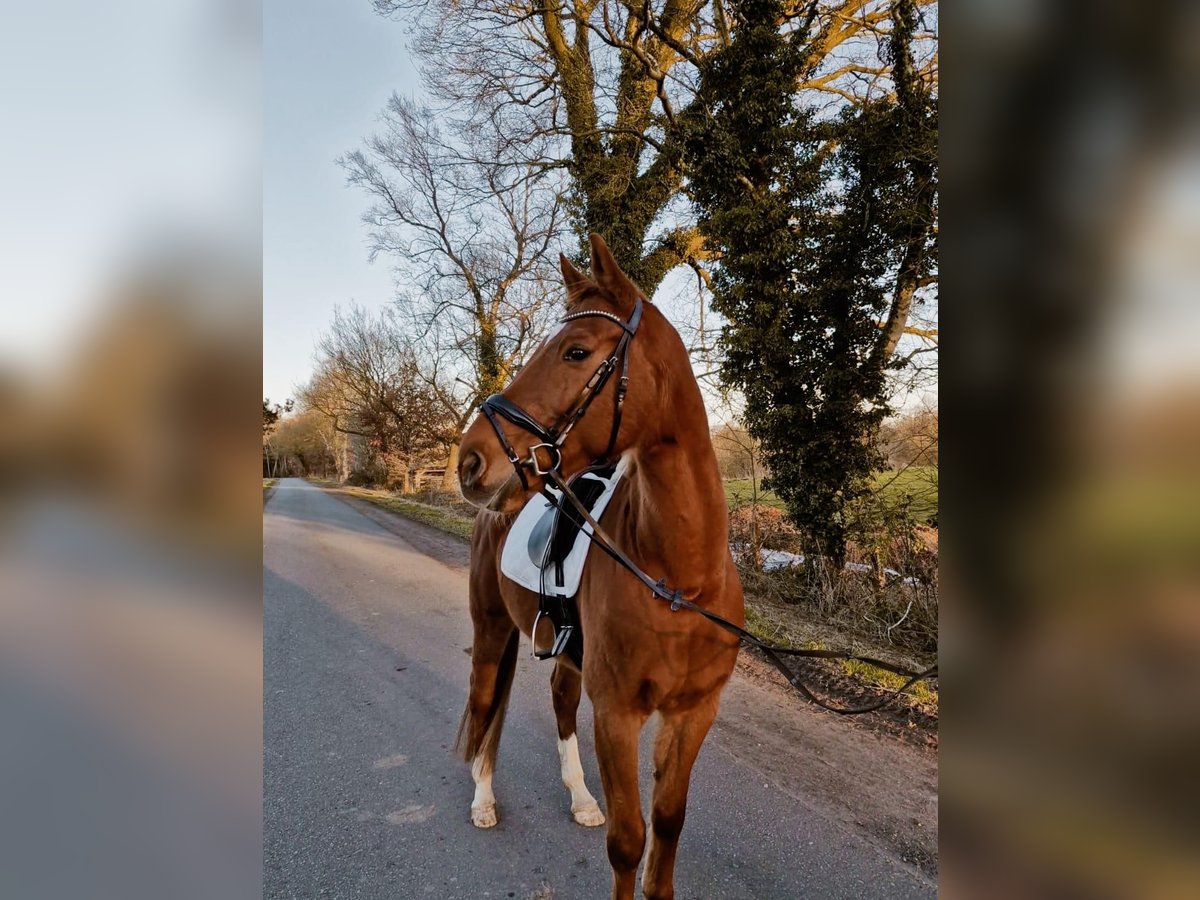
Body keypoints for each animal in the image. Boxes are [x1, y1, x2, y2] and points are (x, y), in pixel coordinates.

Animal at [456, 234, 739, 900]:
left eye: (576, 351)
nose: (470, 460)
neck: (680, 582)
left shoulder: (692, 713)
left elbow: (667, 824)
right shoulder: (617, 714)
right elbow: (628, 840)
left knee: (560, 704)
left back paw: (582, 798)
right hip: (491, 630)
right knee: (484, 705)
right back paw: (483, 799)